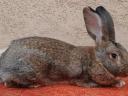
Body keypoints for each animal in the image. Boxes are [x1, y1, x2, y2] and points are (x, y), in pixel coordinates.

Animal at [0, 6, 128, 88]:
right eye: (114, 55)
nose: (127, 71)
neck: (98, 59)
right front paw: (119, 83)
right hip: (29, 70)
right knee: (9, 83)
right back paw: (34, 85)